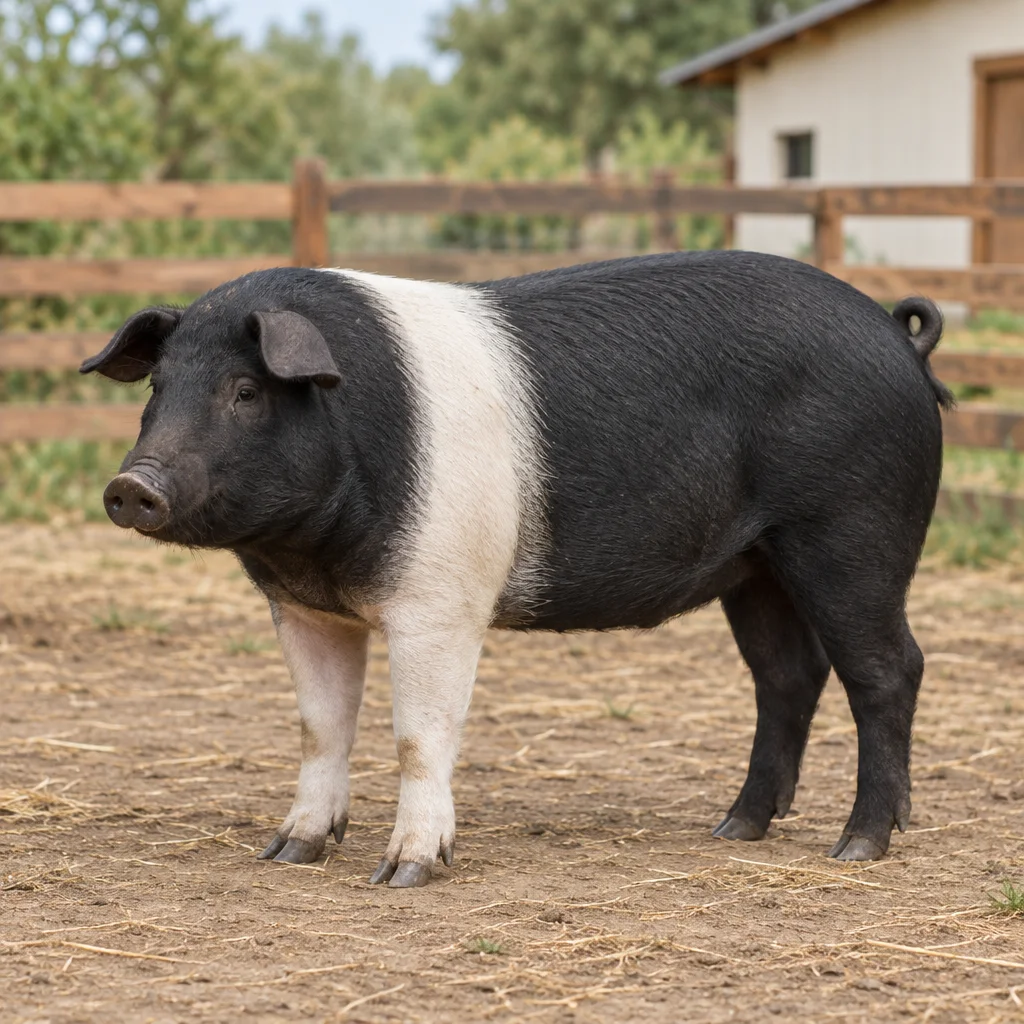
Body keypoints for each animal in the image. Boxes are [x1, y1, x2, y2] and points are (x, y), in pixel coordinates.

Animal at [81, 251, 951, 888]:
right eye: (159, 386)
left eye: (245, 390)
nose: (132, 485)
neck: (313, 546)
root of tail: (897, 336)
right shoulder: (306, 610)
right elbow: (319, 728)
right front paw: (288, 853)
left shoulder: (440, 602)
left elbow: (417, 736)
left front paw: (404, 874)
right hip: (756, 565)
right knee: (788, 677)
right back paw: (734, 828)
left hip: (853, 534)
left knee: (889, 668)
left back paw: (859, 846)